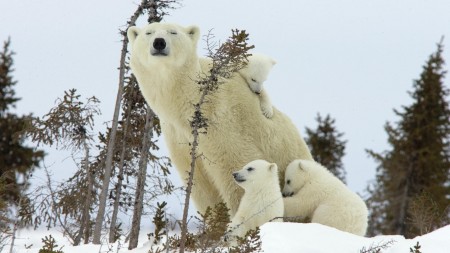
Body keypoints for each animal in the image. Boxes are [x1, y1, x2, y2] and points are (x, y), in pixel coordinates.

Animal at [125, 22, 312, 215]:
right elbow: (201, 185)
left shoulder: (222, 121)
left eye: (173, 32)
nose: (159, 43)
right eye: (148, 32)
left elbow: (236, 168)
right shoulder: (178, 136)